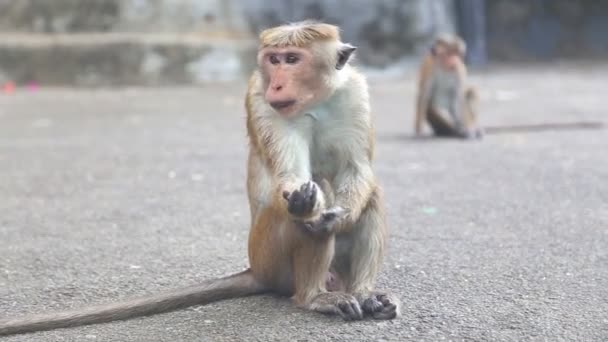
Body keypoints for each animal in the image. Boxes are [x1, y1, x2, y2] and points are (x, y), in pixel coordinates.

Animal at [0, 20, 402, 336]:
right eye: (273, 59)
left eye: (292, 59)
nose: (277, 85)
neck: (314, 100)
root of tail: (256, 269)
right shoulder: (259, 98)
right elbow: (294, 182)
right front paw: (306, 203)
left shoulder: (355, 92)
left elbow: (356, 169)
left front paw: (341, 215)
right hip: (271, 257)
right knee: (304, 208)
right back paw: (314, 297)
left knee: (370, 195)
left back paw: (365, 294)